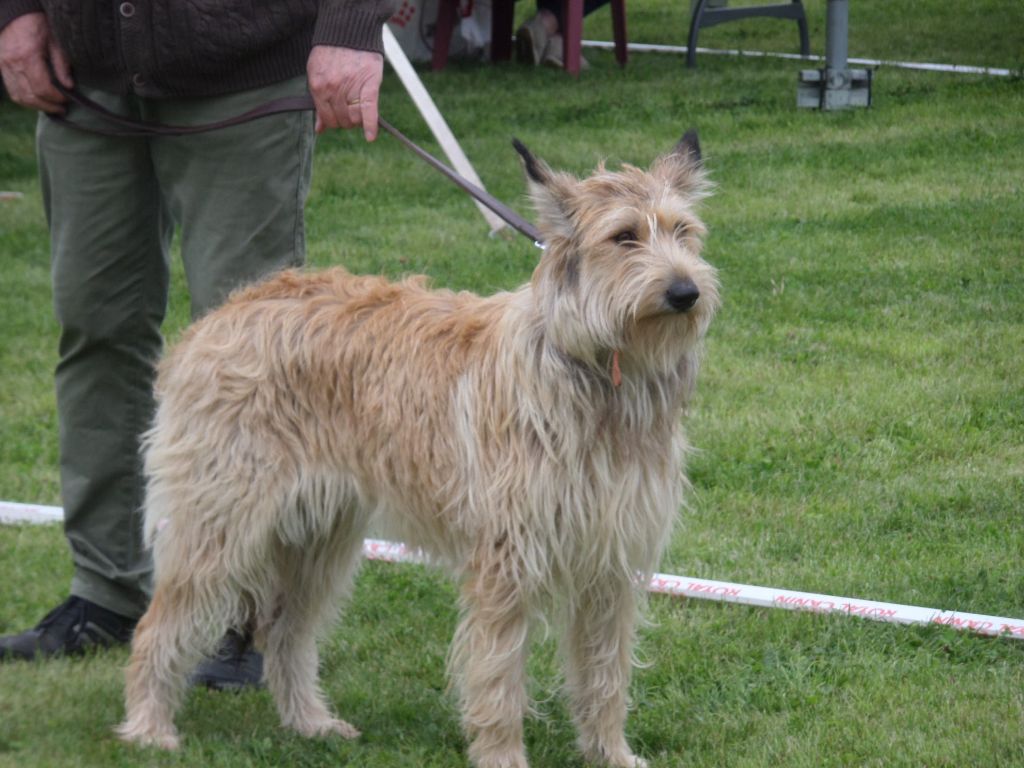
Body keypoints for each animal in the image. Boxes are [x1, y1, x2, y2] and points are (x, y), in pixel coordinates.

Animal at [116, 131, 719, 768]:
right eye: (624, 236)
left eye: (683, 231)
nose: (687, 292)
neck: (597, 368)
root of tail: (225, 311)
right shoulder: (506, 565)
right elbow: (499, 677)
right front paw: (502, 756)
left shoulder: (612, 561)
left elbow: (605, 675)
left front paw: (611, 755)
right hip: (219, 522)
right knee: (158, 626)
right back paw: (149, 728)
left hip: (316, 537)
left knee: (284, 631)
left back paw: (310, 723)